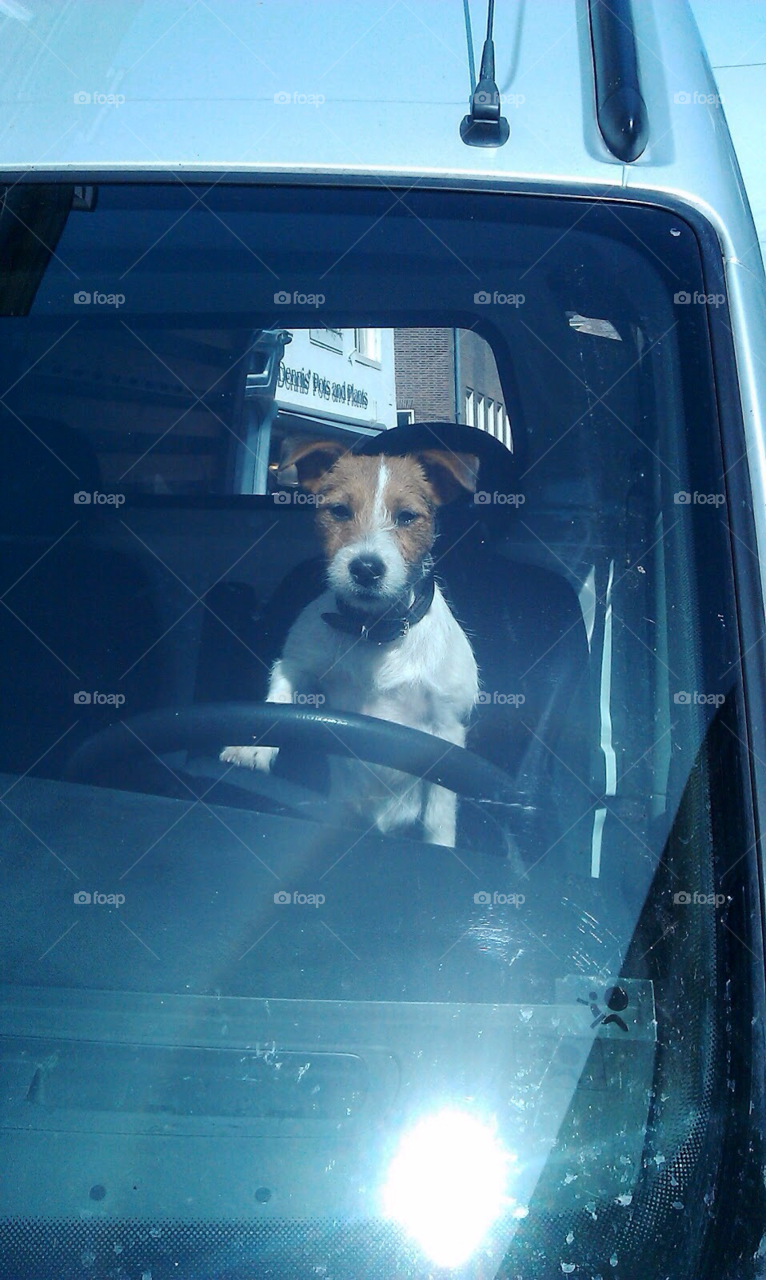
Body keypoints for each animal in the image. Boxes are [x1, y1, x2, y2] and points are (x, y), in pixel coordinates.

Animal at [219, 442, 481, 849]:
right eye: (339, 511)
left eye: (407, 517)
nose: (366, 569)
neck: (372, 631)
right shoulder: (297, 664)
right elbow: (279, 696)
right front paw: (252, 746)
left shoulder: (447, 729)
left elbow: (439, 815)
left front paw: (440, 848)